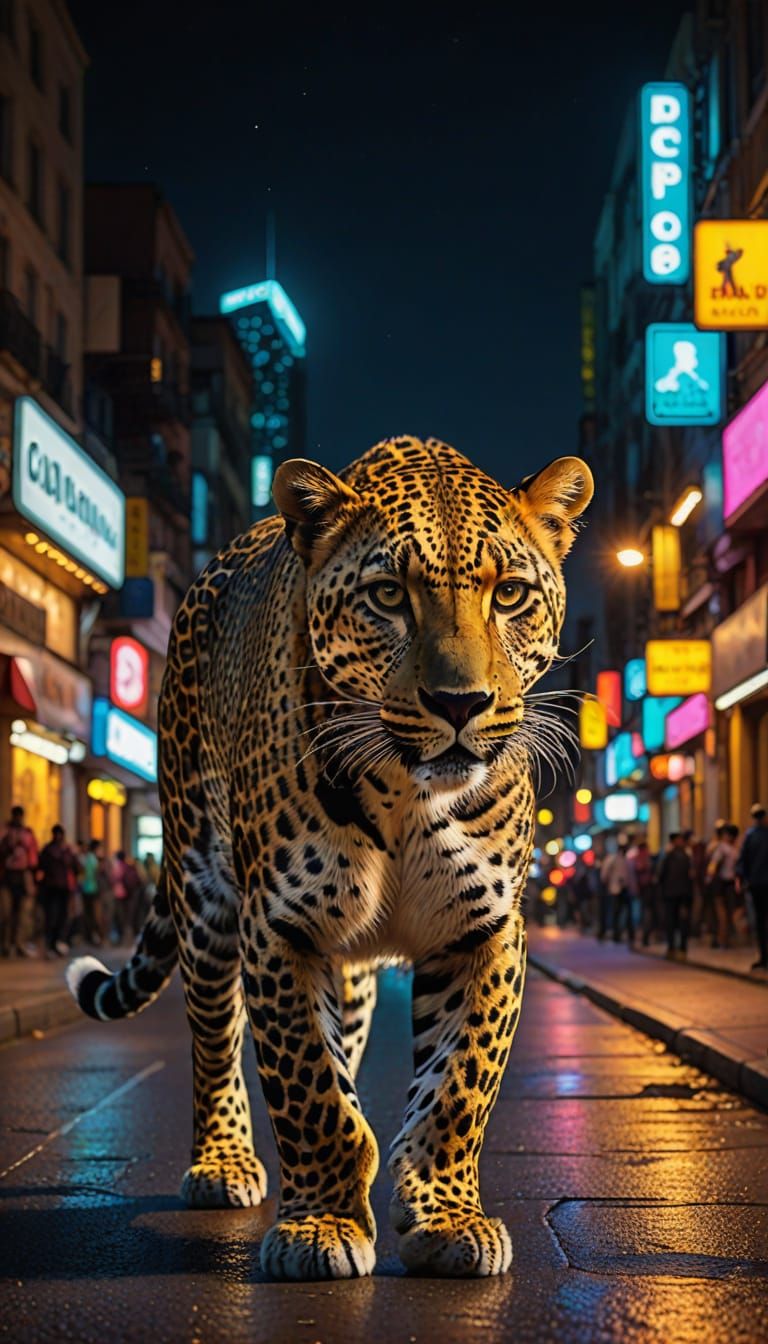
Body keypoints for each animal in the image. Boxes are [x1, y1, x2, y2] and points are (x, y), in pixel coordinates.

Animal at [67, 435, 593, 1281]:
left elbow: (458, 1088)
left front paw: (446, 1219)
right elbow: (312, 1090)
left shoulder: (484, 931)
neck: (409, 796)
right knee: (214, 1037)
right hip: (203, 891)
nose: (459, 704)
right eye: (387, 596)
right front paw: (320, 1229)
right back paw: (223, 1164)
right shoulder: (280, 928)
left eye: (510, 594)